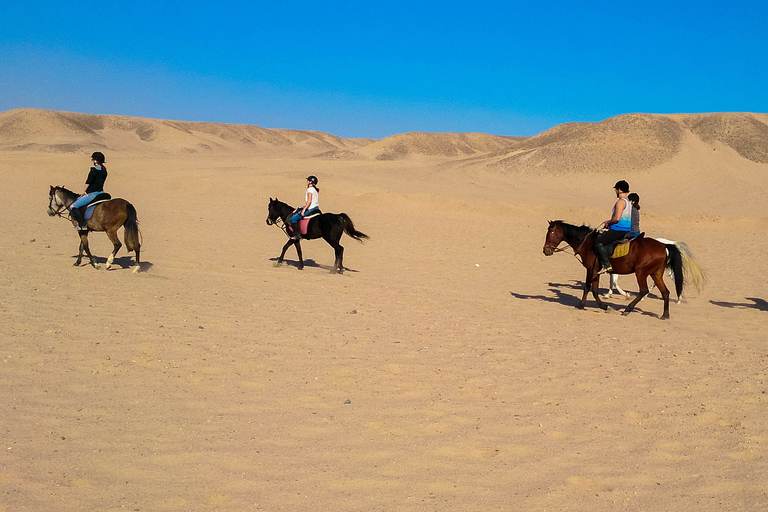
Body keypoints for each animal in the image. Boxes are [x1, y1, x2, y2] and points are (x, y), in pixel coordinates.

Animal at [540, 221, 704, 320]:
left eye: (550, 234)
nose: (546, 251)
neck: (588, 242)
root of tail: (664, 245)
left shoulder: (592, 269)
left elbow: (590, 288)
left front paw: (599, 305)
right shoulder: (595, 270)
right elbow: (592, 288)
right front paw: (593, 305)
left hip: (641, 272)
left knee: (644, 290)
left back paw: (628, 309)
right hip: (656, 273)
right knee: (665, 292)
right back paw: (665, 314)